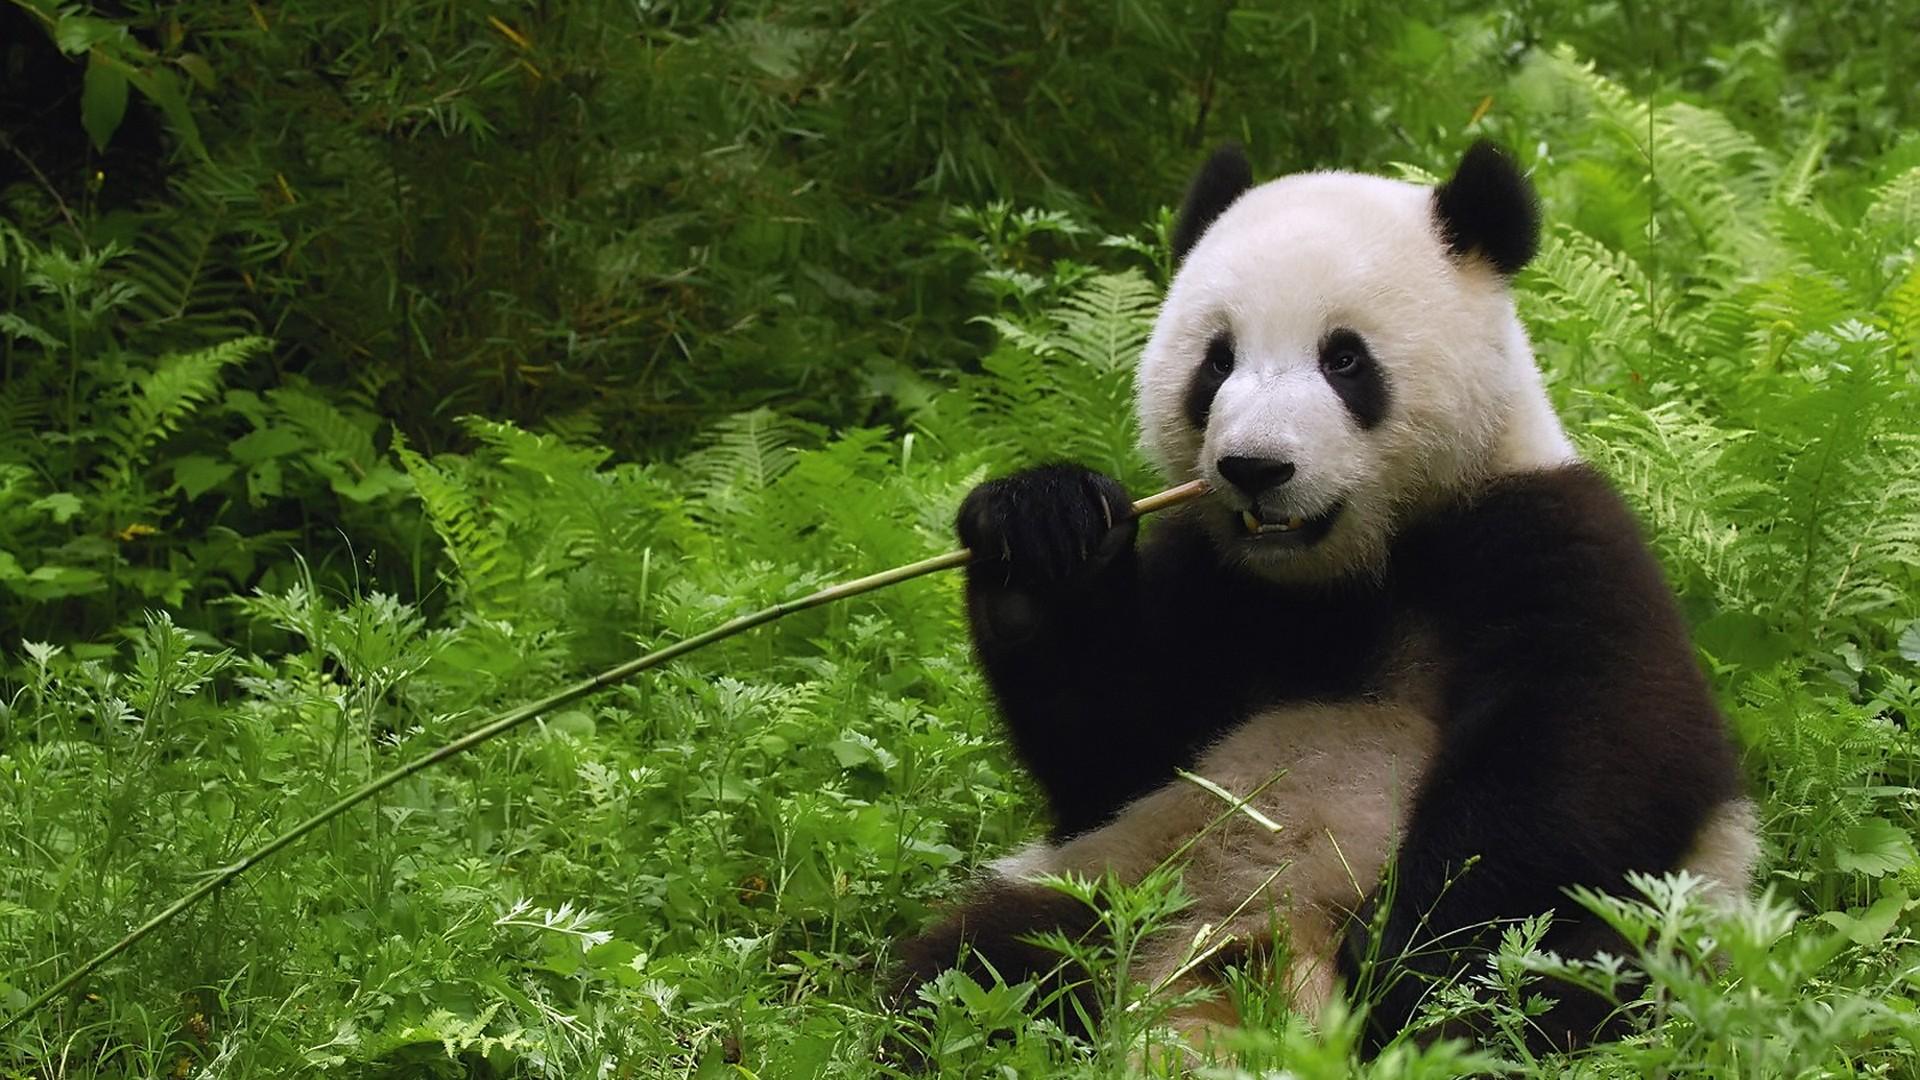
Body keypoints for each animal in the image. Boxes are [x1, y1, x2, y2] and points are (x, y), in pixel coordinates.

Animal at [890, 140, 1757, 1055]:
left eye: (1345, 360)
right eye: (1216, 361)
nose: (1255, 468)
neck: (1344, 573)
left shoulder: (1549, 538)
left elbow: (1594, 754)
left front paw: (1402, 953)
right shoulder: (1212, 582)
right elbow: (1112, 748)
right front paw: (1041, 531)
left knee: (1560, 973)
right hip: (1124, 877)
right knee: (979, 967)